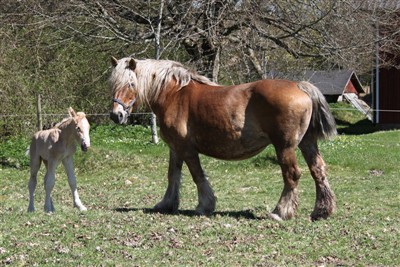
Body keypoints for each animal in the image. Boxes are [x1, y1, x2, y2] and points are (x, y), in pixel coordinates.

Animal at [108, 57, 336, 223]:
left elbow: (197, 176)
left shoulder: (186, 148)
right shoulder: (175, 148)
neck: (174, 95)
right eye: (113, 84)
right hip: (307, 143)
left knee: (292, 175)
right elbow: (173, 176)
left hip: (285, 147)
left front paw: (204, 205)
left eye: (130, 84)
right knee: (318, 171)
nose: (116, 115)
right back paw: (321, 211)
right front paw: (166, 204)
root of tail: (300, 85)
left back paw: (280, 212)